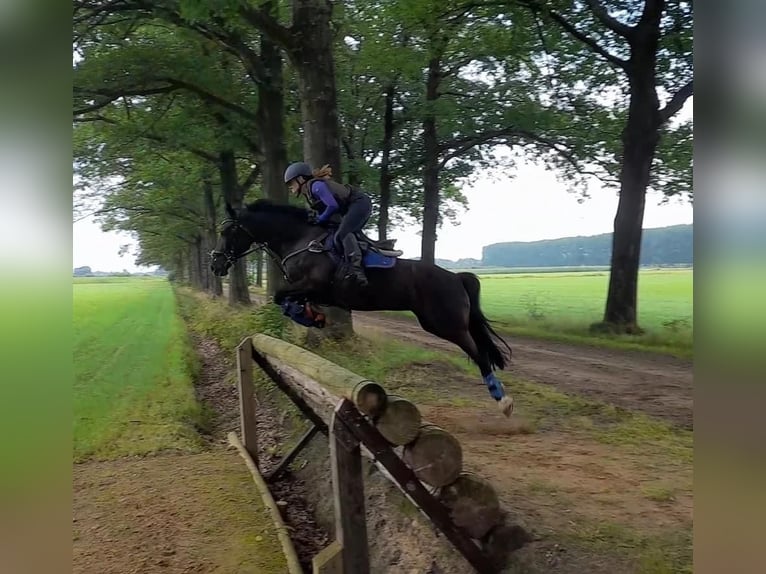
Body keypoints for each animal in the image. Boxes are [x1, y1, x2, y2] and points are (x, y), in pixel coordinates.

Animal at [210, 200, 516, 416]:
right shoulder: (310, 290)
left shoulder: (314, 285)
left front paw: (308, 315)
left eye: (227, 231)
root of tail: (455, 277)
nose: (215, 264)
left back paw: (503, 401)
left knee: (480, 354)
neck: (299, 239)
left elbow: (279, 295)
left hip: (445, 323)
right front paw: (312, 315)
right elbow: (284, 299)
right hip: (439, 322)